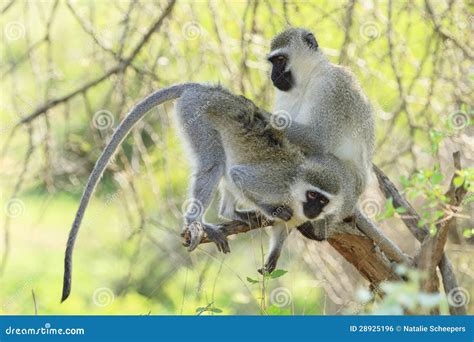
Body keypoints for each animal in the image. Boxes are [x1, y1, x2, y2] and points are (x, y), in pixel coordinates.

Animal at [61, 82, 356, 300]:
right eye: (312, 195)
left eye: (323, 200)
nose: (314, 209)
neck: (296, 194)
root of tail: (204, 88)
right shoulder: (277, 183)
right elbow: (240, 177)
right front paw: (272, 211)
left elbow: (282, 229)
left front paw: (275, 252)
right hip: (196, 116)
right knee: (215, 164)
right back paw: (198, 223)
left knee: (223, 164)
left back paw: (231, 212)